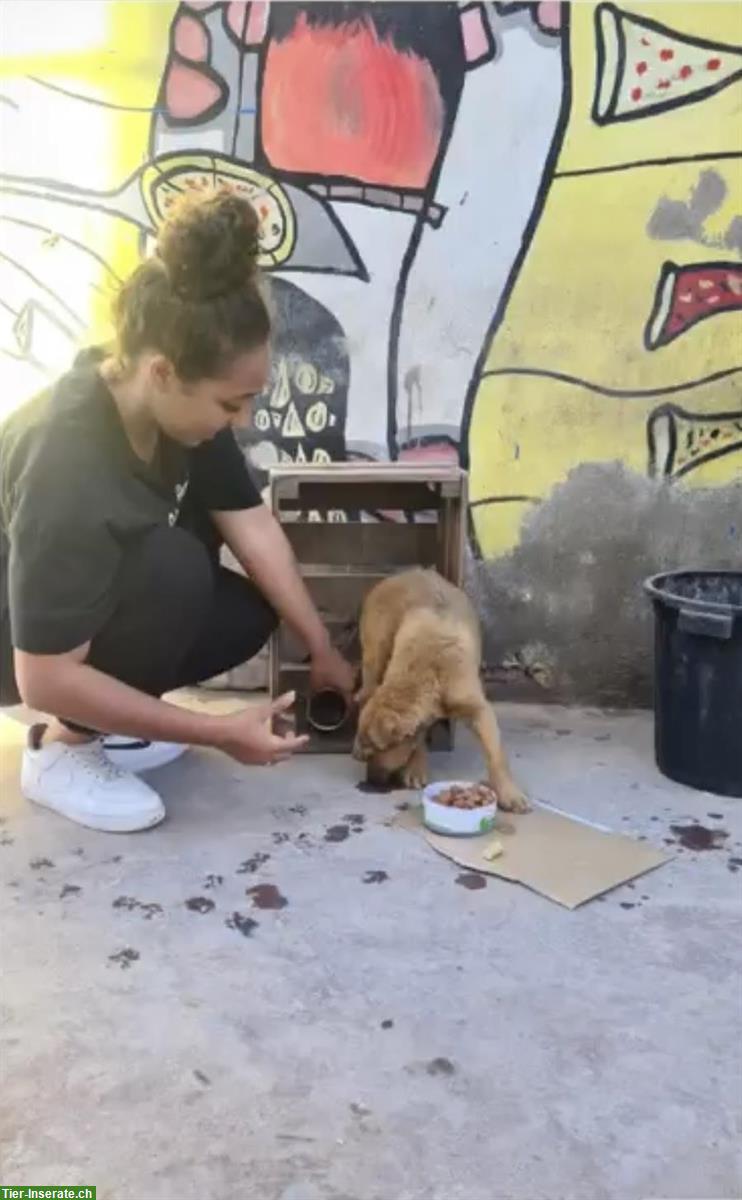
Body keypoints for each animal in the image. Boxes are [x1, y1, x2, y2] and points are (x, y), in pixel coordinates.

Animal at [350, 566, 525, 811]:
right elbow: (418, 739)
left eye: (379, 748)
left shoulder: (479, 710)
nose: (370, 781)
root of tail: (400, 575)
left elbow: (496, 754)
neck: (432, 667)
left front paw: (508, 792)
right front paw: (416, 765)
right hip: (375, 656)